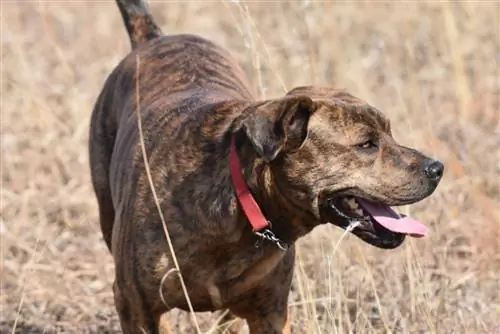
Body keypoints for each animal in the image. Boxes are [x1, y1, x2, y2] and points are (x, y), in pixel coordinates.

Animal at [89, 1, 446, 332]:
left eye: (389, 131)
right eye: (366, 144)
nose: (437, 168)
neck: (241, 200)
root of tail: (153, 37)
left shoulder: (270, 312)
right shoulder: (138, 307)